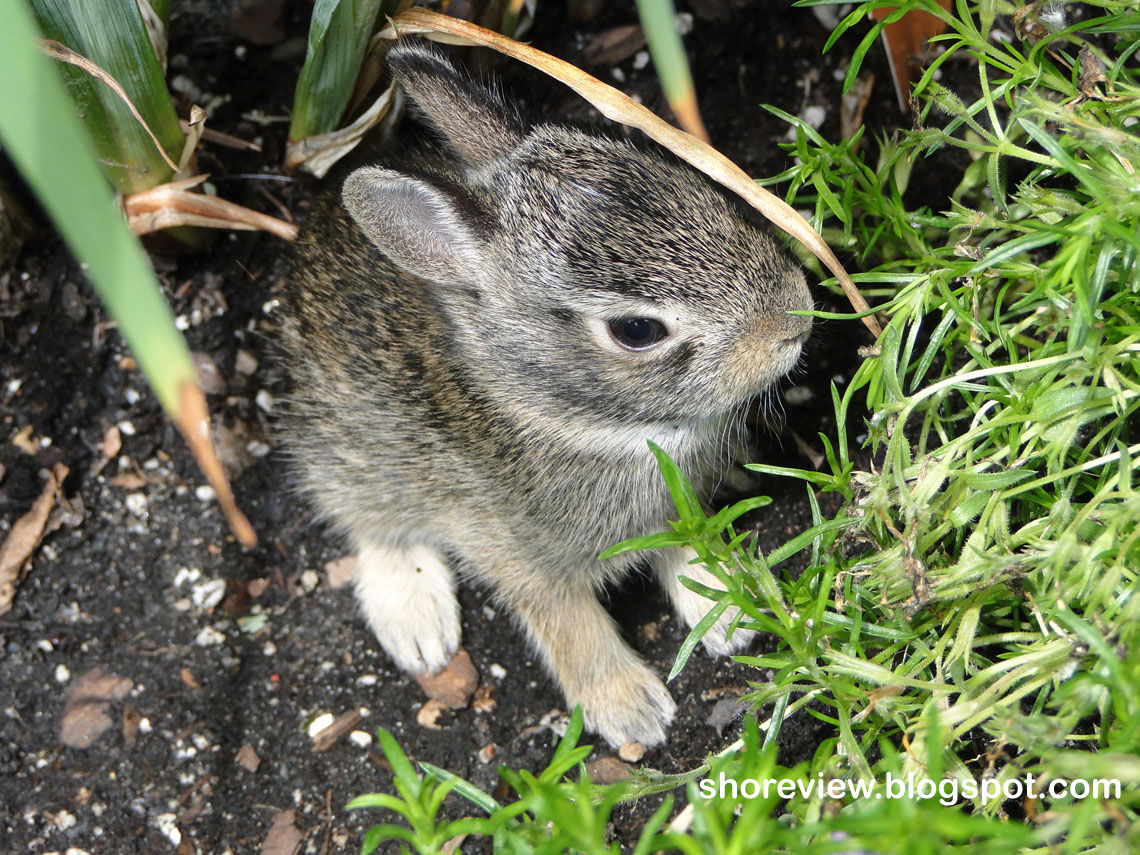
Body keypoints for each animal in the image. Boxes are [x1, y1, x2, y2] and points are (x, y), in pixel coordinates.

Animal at [280, 40, 813, 748]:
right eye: (637, 330)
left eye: (687, 183)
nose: (795, 321)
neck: (565, 414)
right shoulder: (518, 554)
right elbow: (568, 624)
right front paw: (631, 709)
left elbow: (686, 547)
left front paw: (728, 610)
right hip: (353, 449)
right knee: (374, 525)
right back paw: (420, 627)